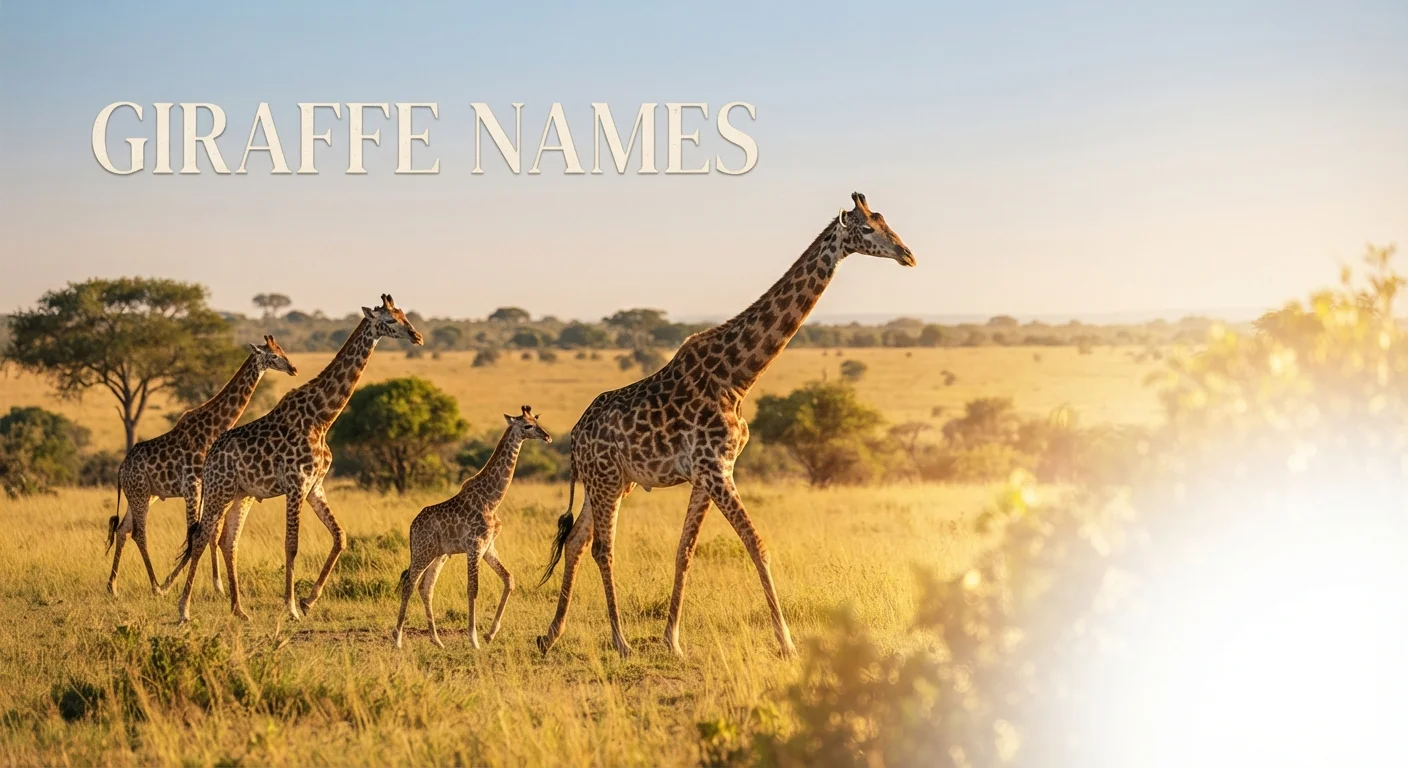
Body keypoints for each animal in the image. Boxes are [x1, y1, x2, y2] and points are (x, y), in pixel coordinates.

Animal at [105, 335, 297, 596]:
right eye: (274, 355)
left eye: (283, 351)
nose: (293, 368)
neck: (213, 428)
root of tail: (121, 469)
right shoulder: (193, 486)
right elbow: (194, 532)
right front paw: (173, 582)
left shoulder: (208, 487)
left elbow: (210, 533)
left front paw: (218, 586)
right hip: (140, 493)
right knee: (139, 533)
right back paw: (156, 586)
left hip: (143, 494)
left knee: (123, 529)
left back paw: (112, 587)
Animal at [167, 294, 423, 623]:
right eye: (390, 320)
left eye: (404, 315)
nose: (417, 336)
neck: (322, 417)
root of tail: (210, 456)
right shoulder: (296, 485)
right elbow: (292, 545)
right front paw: (290, 607)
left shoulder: (315, 486)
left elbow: (340, 536)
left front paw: (308, 601)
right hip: (217, 491)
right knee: (201, 537)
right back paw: (184, 609)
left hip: (241, 494)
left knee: (227, 540)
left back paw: (239, 610)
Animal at [393, 406, 552, 650]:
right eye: (527, 426)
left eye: (536, 420)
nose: (547, 437)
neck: (492, 499)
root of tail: (412, 527)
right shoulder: (474, 546)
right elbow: (473, 589)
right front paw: (474, 639)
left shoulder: (488, 546)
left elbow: (509, 579)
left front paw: (490, 634)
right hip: (422, 551)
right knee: (409, 583)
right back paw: (398, 639)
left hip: (439, 554)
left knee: (426, 587)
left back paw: (437, 640)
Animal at [535, 192, 915, 659]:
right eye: (866, 229)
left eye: (885, 222)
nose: (907, 254)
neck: (738, 376)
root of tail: (573, 437)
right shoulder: (716, 469)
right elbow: (757, 544)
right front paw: (787, 642)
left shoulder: (709, 473)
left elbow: (685, 550)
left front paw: (672, 640)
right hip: (606, 481)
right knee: (603, 549)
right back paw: (620, 641)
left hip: (608, 482)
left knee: (575, 542)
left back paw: (551, 633)